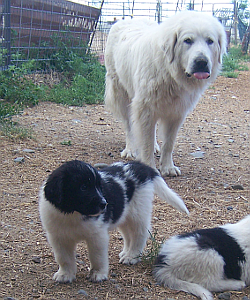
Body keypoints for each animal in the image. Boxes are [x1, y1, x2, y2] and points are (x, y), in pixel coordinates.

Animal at [38, 161, 188, 282]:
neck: (74, 214)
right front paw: (65, 275)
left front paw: (98, 274)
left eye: (99, 186)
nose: (104, 204)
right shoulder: (58, 237)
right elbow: (64, 258)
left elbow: (97, 256)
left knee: (139, 235)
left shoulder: (97, 235)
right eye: (83, 187)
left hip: (138, 213)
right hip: (124, 215)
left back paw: (132, 256)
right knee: (128, 235)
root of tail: (140, 166)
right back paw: (126, 252)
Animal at [104, 11, 228, 176]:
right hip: (122, 95)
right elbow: (146, 143)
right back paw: (130, 149)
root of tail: (128, 20)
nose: (201, 61)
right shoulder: (144, 109)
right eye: (187, 40)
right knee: (129, 125)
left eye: (210, 41)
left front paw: (168, 167)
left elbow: (169, 142)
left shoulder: (176, 113)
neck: (170, 74)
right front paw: (150, 166)